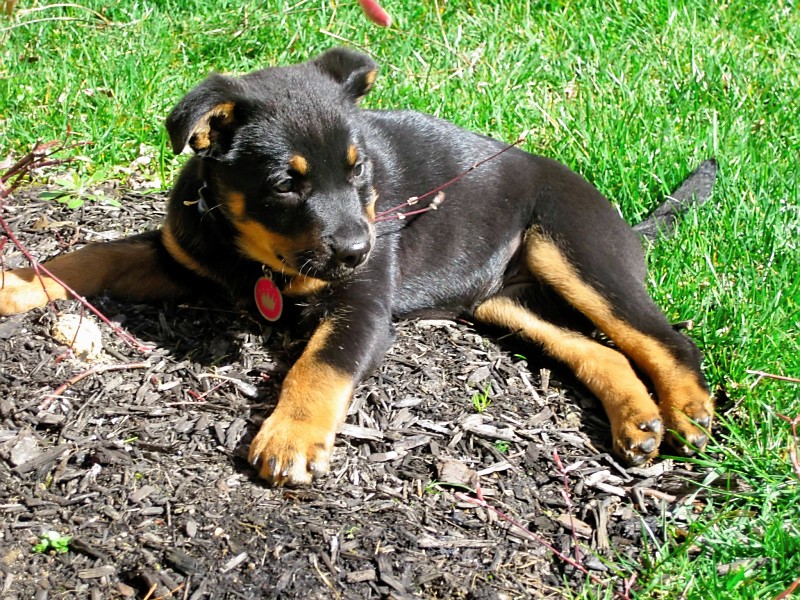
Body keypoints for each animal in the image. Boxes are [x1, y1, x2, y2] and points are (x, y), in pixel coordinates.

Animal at [0, 48, 712, 488]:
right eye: (286, 183)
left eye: (359, 168)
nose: (358, 250)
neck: (252, 257)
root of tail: (616, 213)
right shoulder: (181, 259)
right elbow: (92, 255)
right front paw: (17, 283)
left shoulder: (362, 304)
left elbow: (322, 363)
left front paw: (290, 439)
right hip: (507, 300)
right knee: (604, 349)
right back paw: (639, 422)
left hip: (573, 249)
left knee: (664, 337)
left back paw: (687, 411)